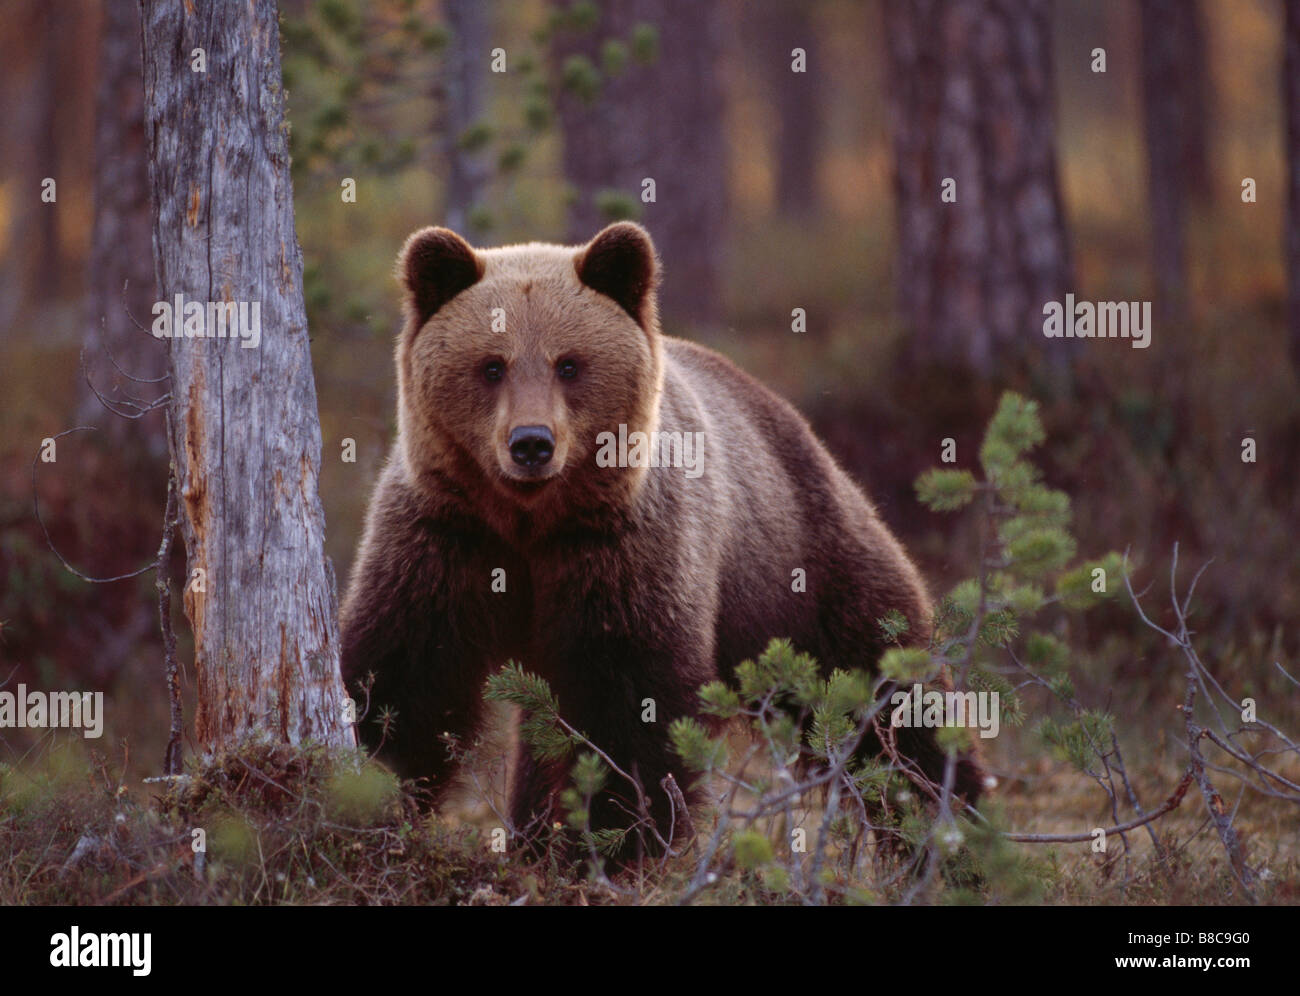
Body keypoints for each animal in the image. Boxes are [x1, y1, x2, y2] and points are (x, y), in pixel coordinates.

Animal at [340, 222, 977, 847]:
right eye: (491, 365)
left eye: (568, 363)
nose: (531, 443)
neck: (530, 521)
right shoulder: (446, 536)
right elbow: (403, 677)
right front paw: (379, 792)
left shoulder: (624, 549)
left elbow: (629, 708)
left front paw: (615, 838)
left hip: (803, 567)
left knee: (890, 697)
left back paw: (948, 821)